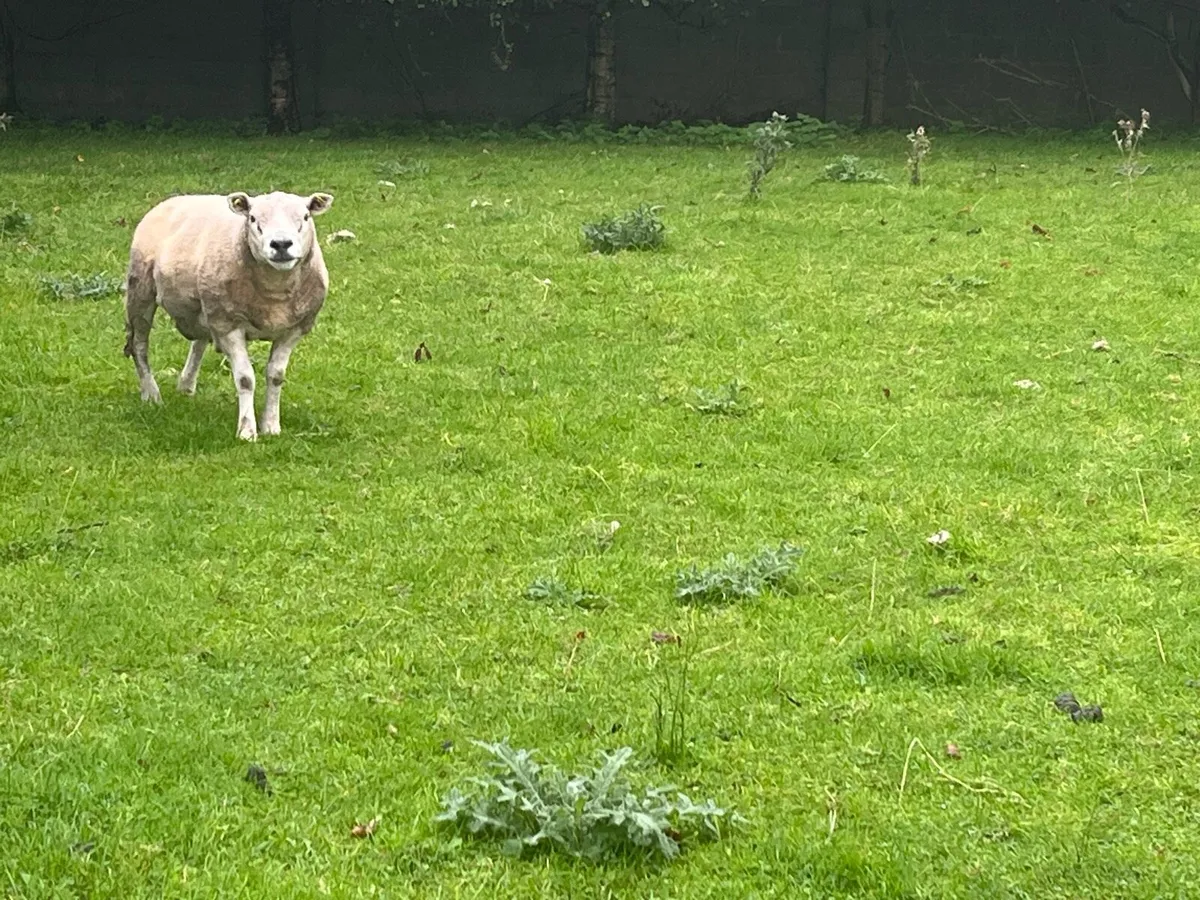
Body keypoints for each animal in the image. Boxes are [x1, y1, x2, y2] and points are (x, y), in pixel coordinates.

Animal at [123, 190, 334, 440]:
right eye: (253, 218)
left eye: (305, 216)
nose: (281, 244)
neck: (275, 293)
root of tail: (178, 198)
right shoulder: (229, 325)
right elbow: (245, 379)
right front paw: (247, 431)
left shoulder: (294, 329)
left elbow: (276, 375)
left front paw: (271, 425)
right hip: (141, 290)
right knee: (139, 346)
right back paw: (151, 394)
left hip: (205, 308)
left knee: (199, 342)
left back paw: (186, 385)